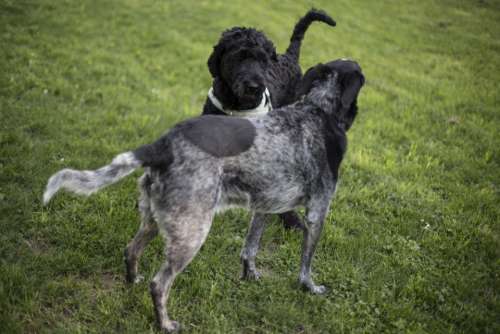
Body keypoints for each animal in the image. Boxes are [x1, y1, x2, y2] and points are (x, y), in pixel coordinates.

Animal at [44, 60, 364, 334]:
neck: (318, 110)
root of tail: (162, 145)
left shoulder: (265, 205)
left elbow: (250, 248)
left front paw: (250, 277)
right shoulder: (317, 212)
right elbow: (306, 264)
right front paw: (310, 289)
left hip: (155, 219)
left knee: (131, 251)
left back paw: (132, 282)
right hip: (192, 231)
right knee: (159, 284)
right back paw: (165, 324)